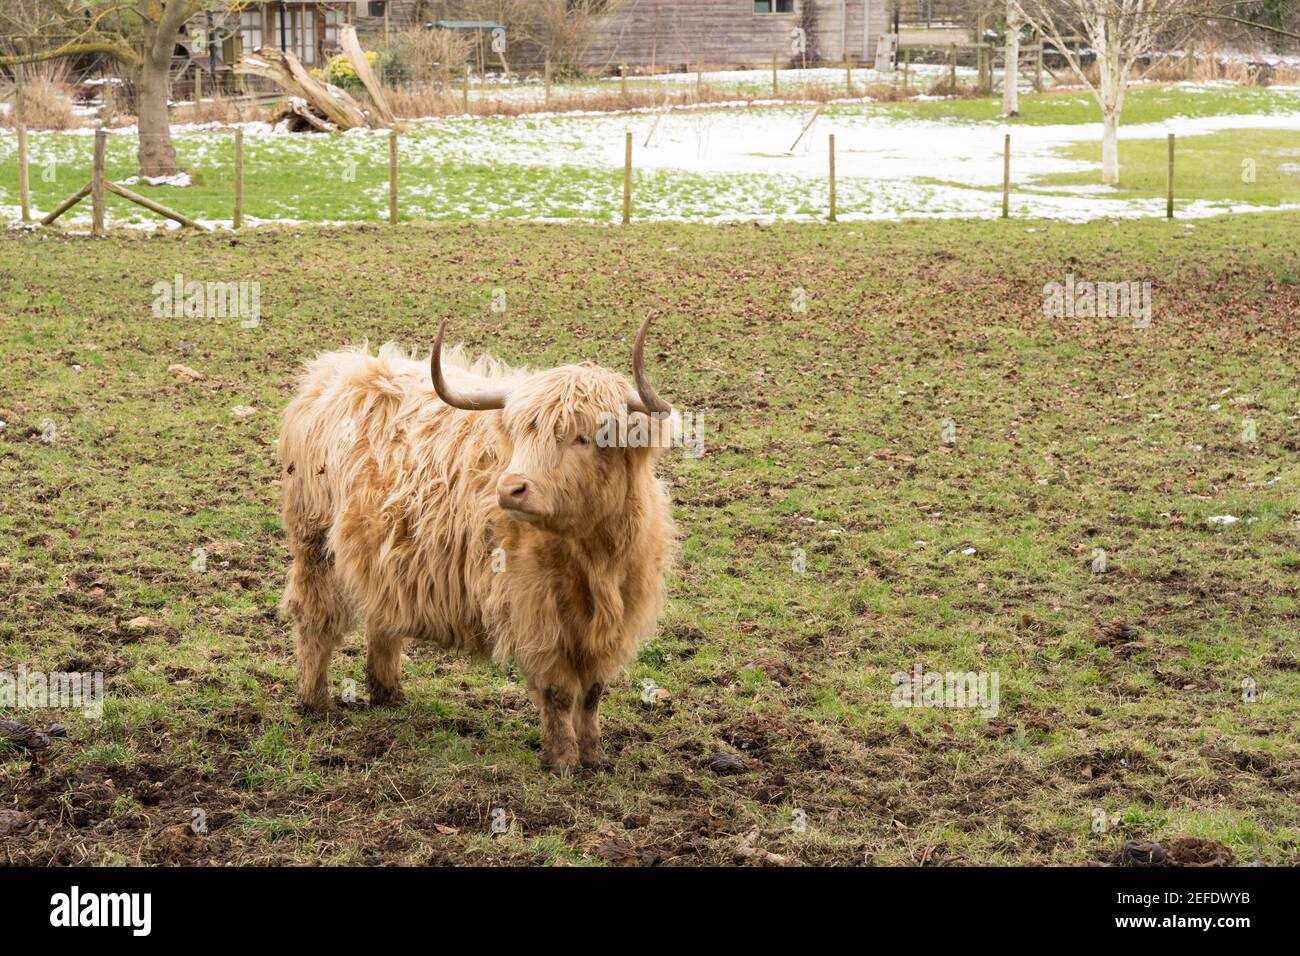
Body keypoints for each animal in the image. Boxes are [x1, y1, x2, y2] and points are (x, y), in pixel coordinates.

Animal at [277, 318, 677, 774]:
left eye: (583, 437)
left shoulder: (615, 617)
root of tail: (335, 371)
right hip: (314, 544)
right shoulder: (534, 613)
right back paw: (316, 702)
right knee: (314, 618)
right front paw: (562, 760)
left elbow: (592, 691)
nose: (511, 488)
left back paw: (389, 695)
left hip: (383, 554)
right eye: (521, 432)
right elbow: (559, 690)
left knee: (383, 617)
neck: (592, 556)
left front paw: (594, 756)